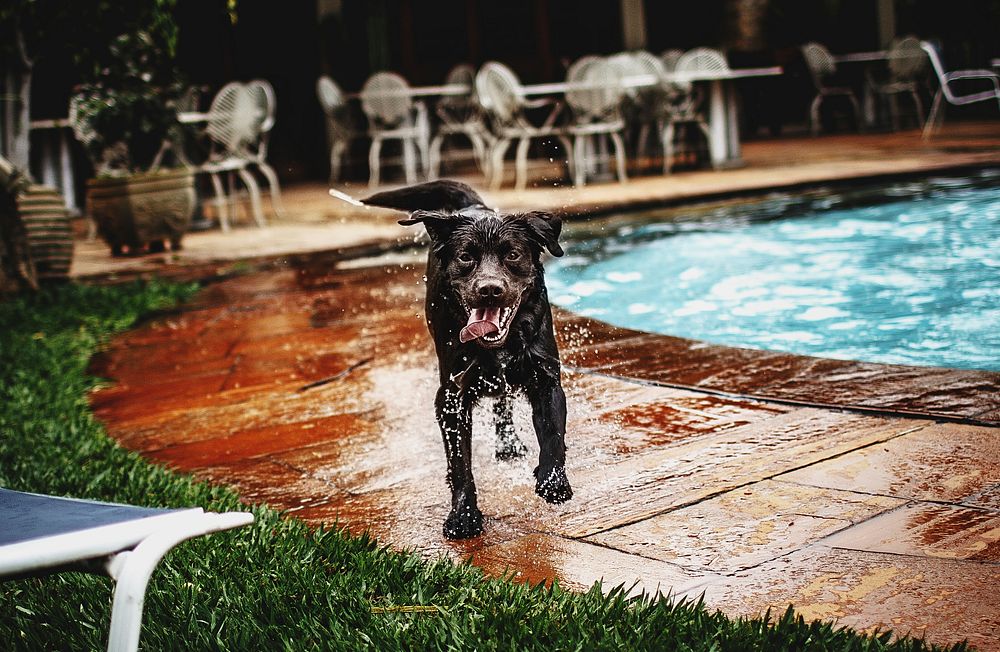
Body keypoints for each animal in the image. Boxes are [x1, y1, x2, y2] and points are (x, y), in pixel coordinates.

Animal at [360, 180, 576, 540]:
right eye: (466, 257)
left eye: (512, 254)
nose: (489, 289)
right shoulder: (452, 396)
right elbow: (460, 463)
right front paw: (463, 515)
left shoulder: (546, 378)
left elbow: (552, 435)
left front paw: (553, 481)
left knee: (503, 403)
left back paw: (509, 446)